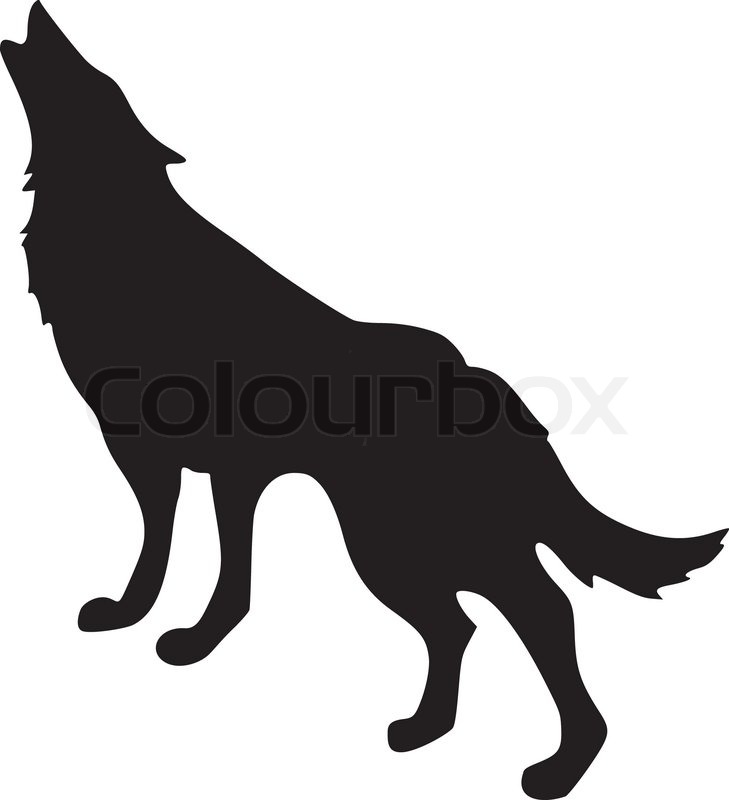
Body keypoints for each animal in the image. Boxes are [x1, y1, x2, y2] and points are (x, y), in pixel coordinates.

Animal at [2, 4, 724, 798]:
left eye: (92, 77)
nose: (40, 14)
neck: (127, 244)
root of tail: (491, 388)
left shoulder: (188, 463)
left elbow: (200, 563)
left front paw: (182, 637)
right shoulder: (198, 468)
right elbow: (187, 558)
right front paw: (149, 622)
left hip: (404, 540)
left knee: (538, 612)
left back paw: (564, 764)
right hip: (404, 546)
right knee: (463, 626)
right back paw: (427, 730)